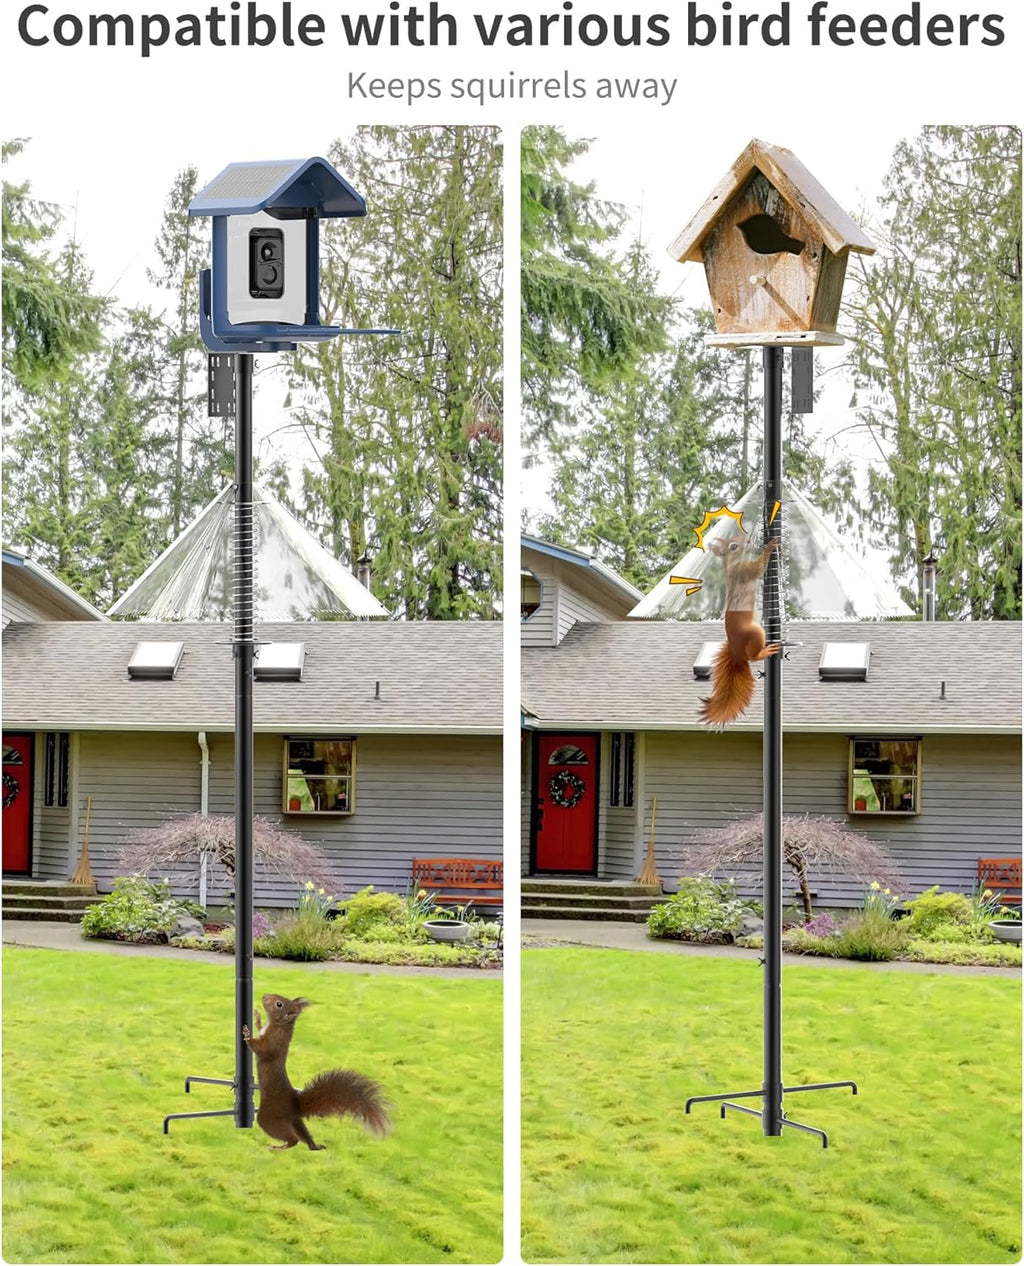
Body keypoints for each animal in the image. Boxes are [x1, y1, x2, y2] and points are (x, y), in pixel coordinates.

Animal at [242, 993, 391, 1151]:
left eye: (279, 1004)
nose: (265, 996)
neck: (280, 1025)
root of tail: (296, 1106)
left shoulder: (274, 1043)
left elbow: (262, 1050)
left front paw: (247, 1035)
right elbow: (260, 1029)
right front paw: (257, 1018)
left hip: (269, 1117)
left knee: (293, 1139)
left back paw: (278, 1147)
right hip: (296, 1122)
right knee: (304, 1137)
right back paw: (314, 1146)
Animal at [698, 535, 781, 729]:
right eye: (734, 546)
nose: (750, 540)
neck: (731, 562)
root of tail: (736, 653)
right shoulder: (744, 570)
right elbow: (758, 568)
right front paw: (770, 545)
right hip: (756, 633)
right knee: (753, 656)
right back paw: (766, 651)